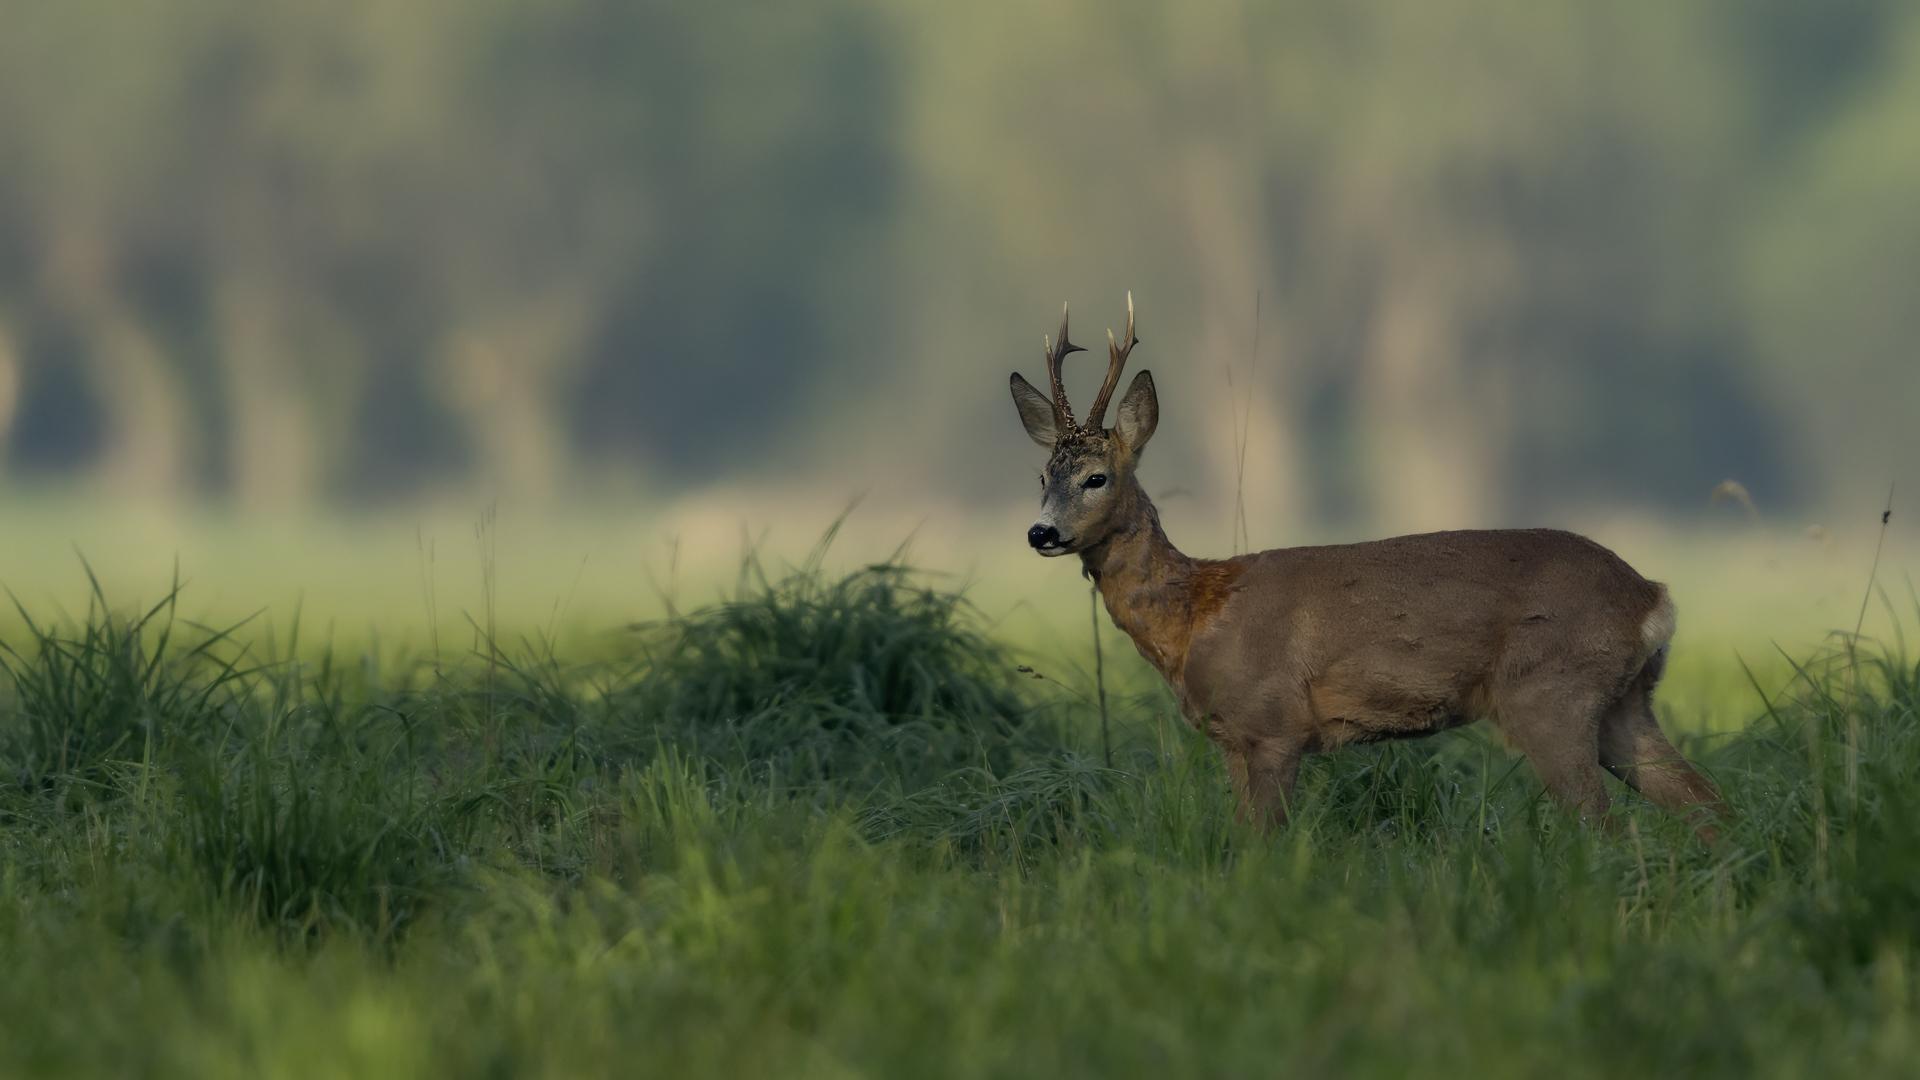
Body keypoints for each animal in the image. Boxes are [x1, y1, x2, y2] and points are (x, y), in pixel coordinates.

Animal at [1009, 297, 1727, 841]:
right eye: (1042, 476)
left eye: (1096, 477)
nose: (1040, 532)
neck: (1197, 613)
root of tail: (1653, 599)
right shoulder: (1232, 738)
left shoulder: (1274, 723)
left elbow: (1262, 844)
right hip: (1623, 704)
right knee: (1708, 805)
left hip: (1552, 691)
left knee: (1607, 828)